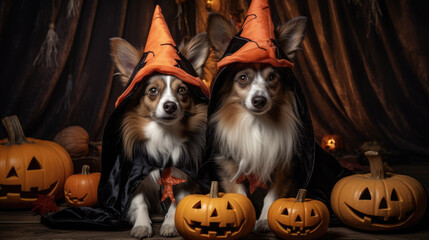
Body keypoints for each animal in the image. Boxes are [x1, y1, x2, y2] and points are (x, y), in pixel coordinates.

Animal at [108, 32, 209, 238]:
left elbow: (177, 204)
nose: (170, 105)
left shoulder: (186, 178)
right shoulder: (134, 178)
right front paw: (141, 226)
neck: (165, 135)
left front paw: (170, 225)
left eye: (182, 90)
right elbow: (140, 203)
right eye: (152, 91)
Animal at [207, 15, 308, 232]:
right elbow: (240, 197)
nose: (259, 100)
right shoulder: (231, 167)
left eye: (272, 77)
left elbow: (272, 197)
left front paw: (263, 221)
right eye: (243, 78)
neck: (257, 125)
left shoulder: (284, 167)